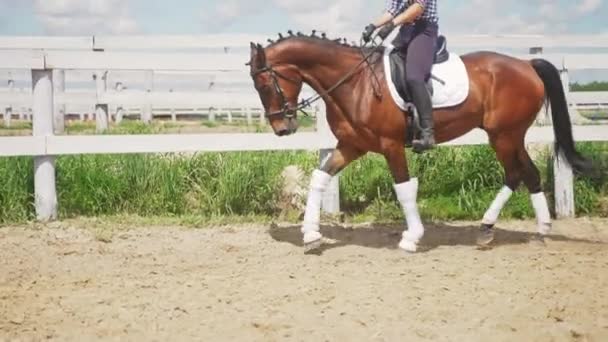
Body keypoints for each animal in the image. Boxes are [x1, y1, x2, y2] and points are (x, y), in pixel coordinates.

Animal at [246, 32, 588, 251]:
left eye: (264, 83)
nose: (281, 128)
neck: (355, 83)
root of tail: (526, 65)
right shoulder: (352, 145)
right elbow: (319, 178)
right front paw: (310, 235)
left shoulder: (391, 145)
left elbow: (404, 188)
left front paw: (412, 238)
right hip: (510, 136)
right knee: (528, 173)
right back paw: (533, 230)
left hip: (504, 135)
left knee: (516, 173)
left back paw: (494, 228)